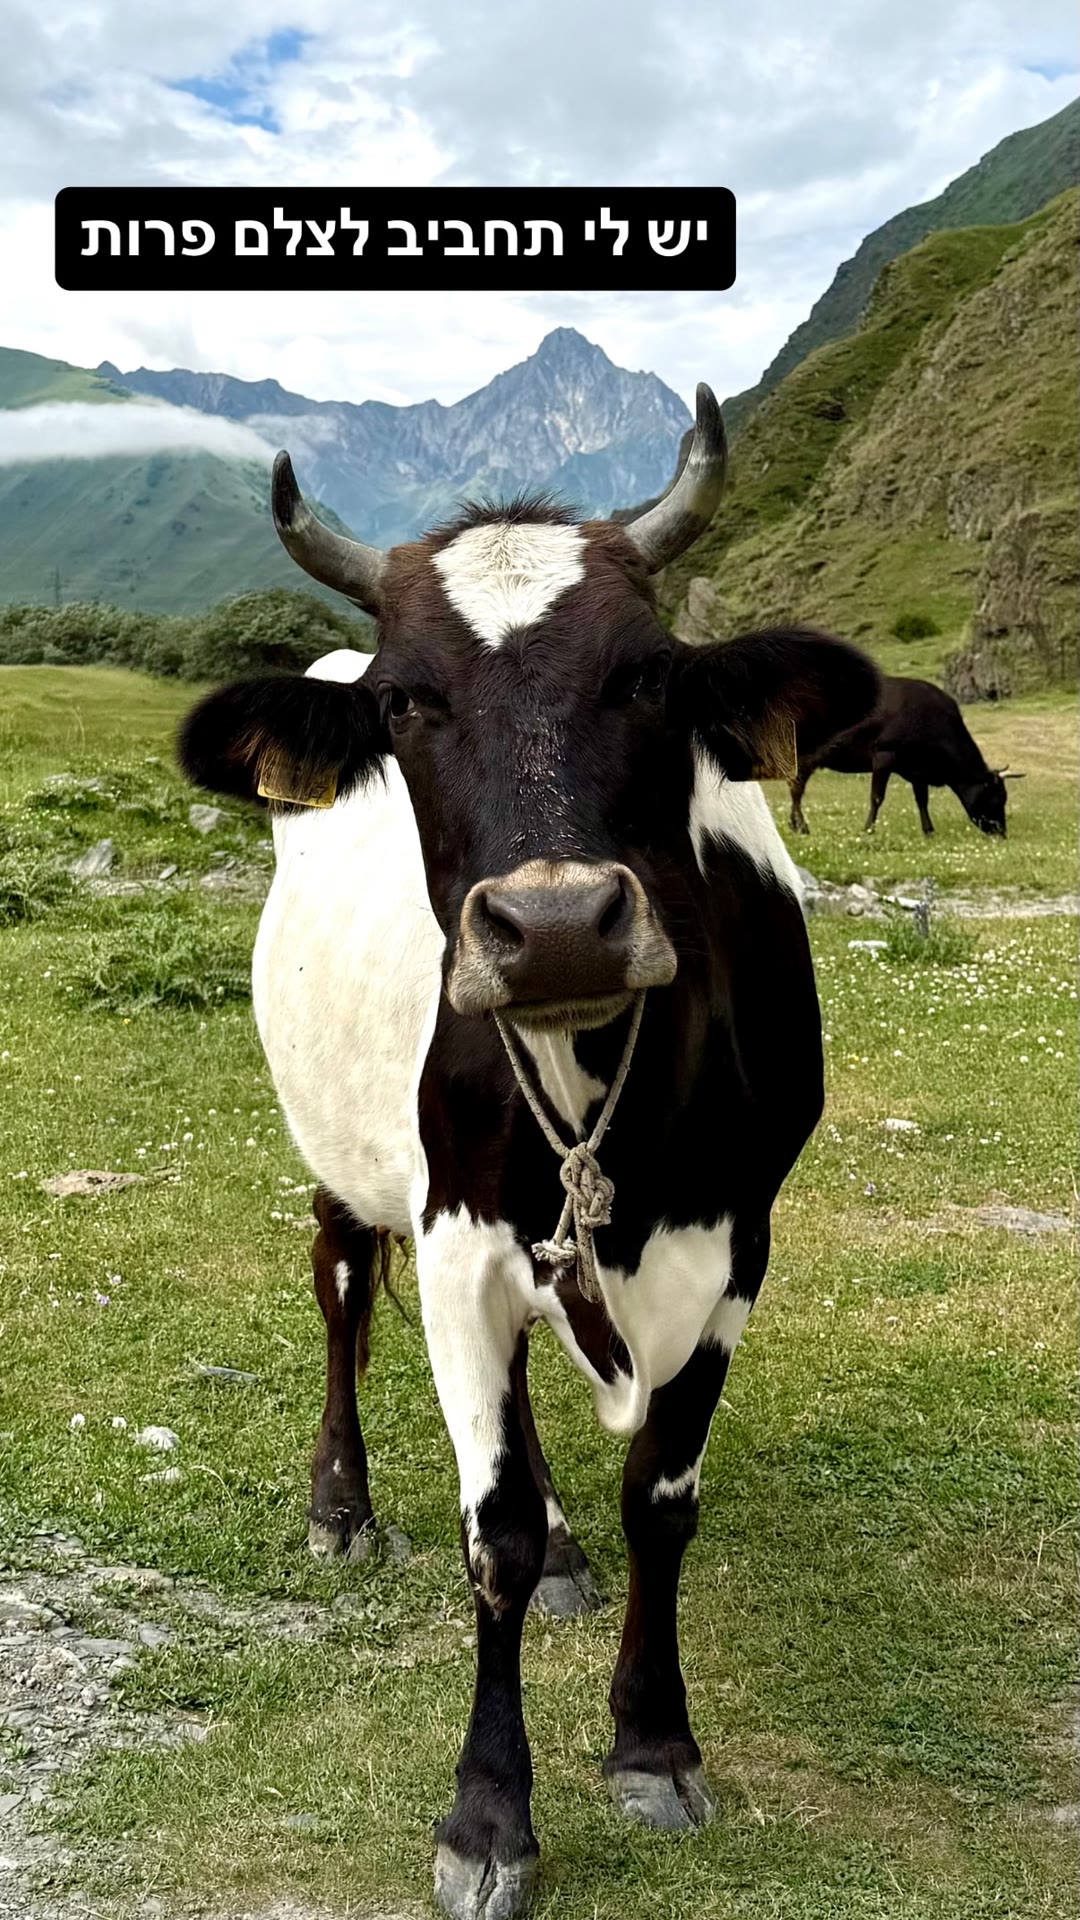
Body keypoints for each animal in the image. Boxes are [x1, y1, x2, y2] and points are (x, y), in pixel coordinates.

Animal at [178, 385, 881, 1920]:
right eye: (405, 700)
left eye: (652, 677)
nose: (556, 926)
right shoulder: (454, 1242)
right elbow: (484, 1531)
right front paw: (489, 1815)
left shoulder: (737, 1244)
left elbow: (659, 1498)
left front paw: (653, 1742)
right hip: (345, 1158)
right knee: (338, 1291)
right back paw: (342, 1502)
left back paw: (565, 1548)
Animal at [787, 673, 1019, 838]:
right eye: (998, 796)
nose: (1002, 833)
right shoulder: (884, 755)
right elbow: (877, 797)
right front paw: (868, 829)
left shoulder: (918, 769)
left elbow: (922, 800)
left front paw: (929, 831)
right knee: (796, 789)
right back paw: (802, 826)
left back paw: (794, 825)